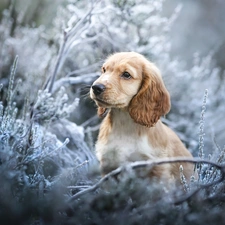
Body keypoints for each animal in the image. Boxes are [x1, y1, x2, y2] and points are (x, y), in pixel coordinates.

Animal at [90, 52, 194, 185]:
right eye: (104, 70)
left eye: (126, 74)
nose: (96, 87)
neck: (124, 123)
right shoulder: (108, 166)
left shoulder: (157, 169)